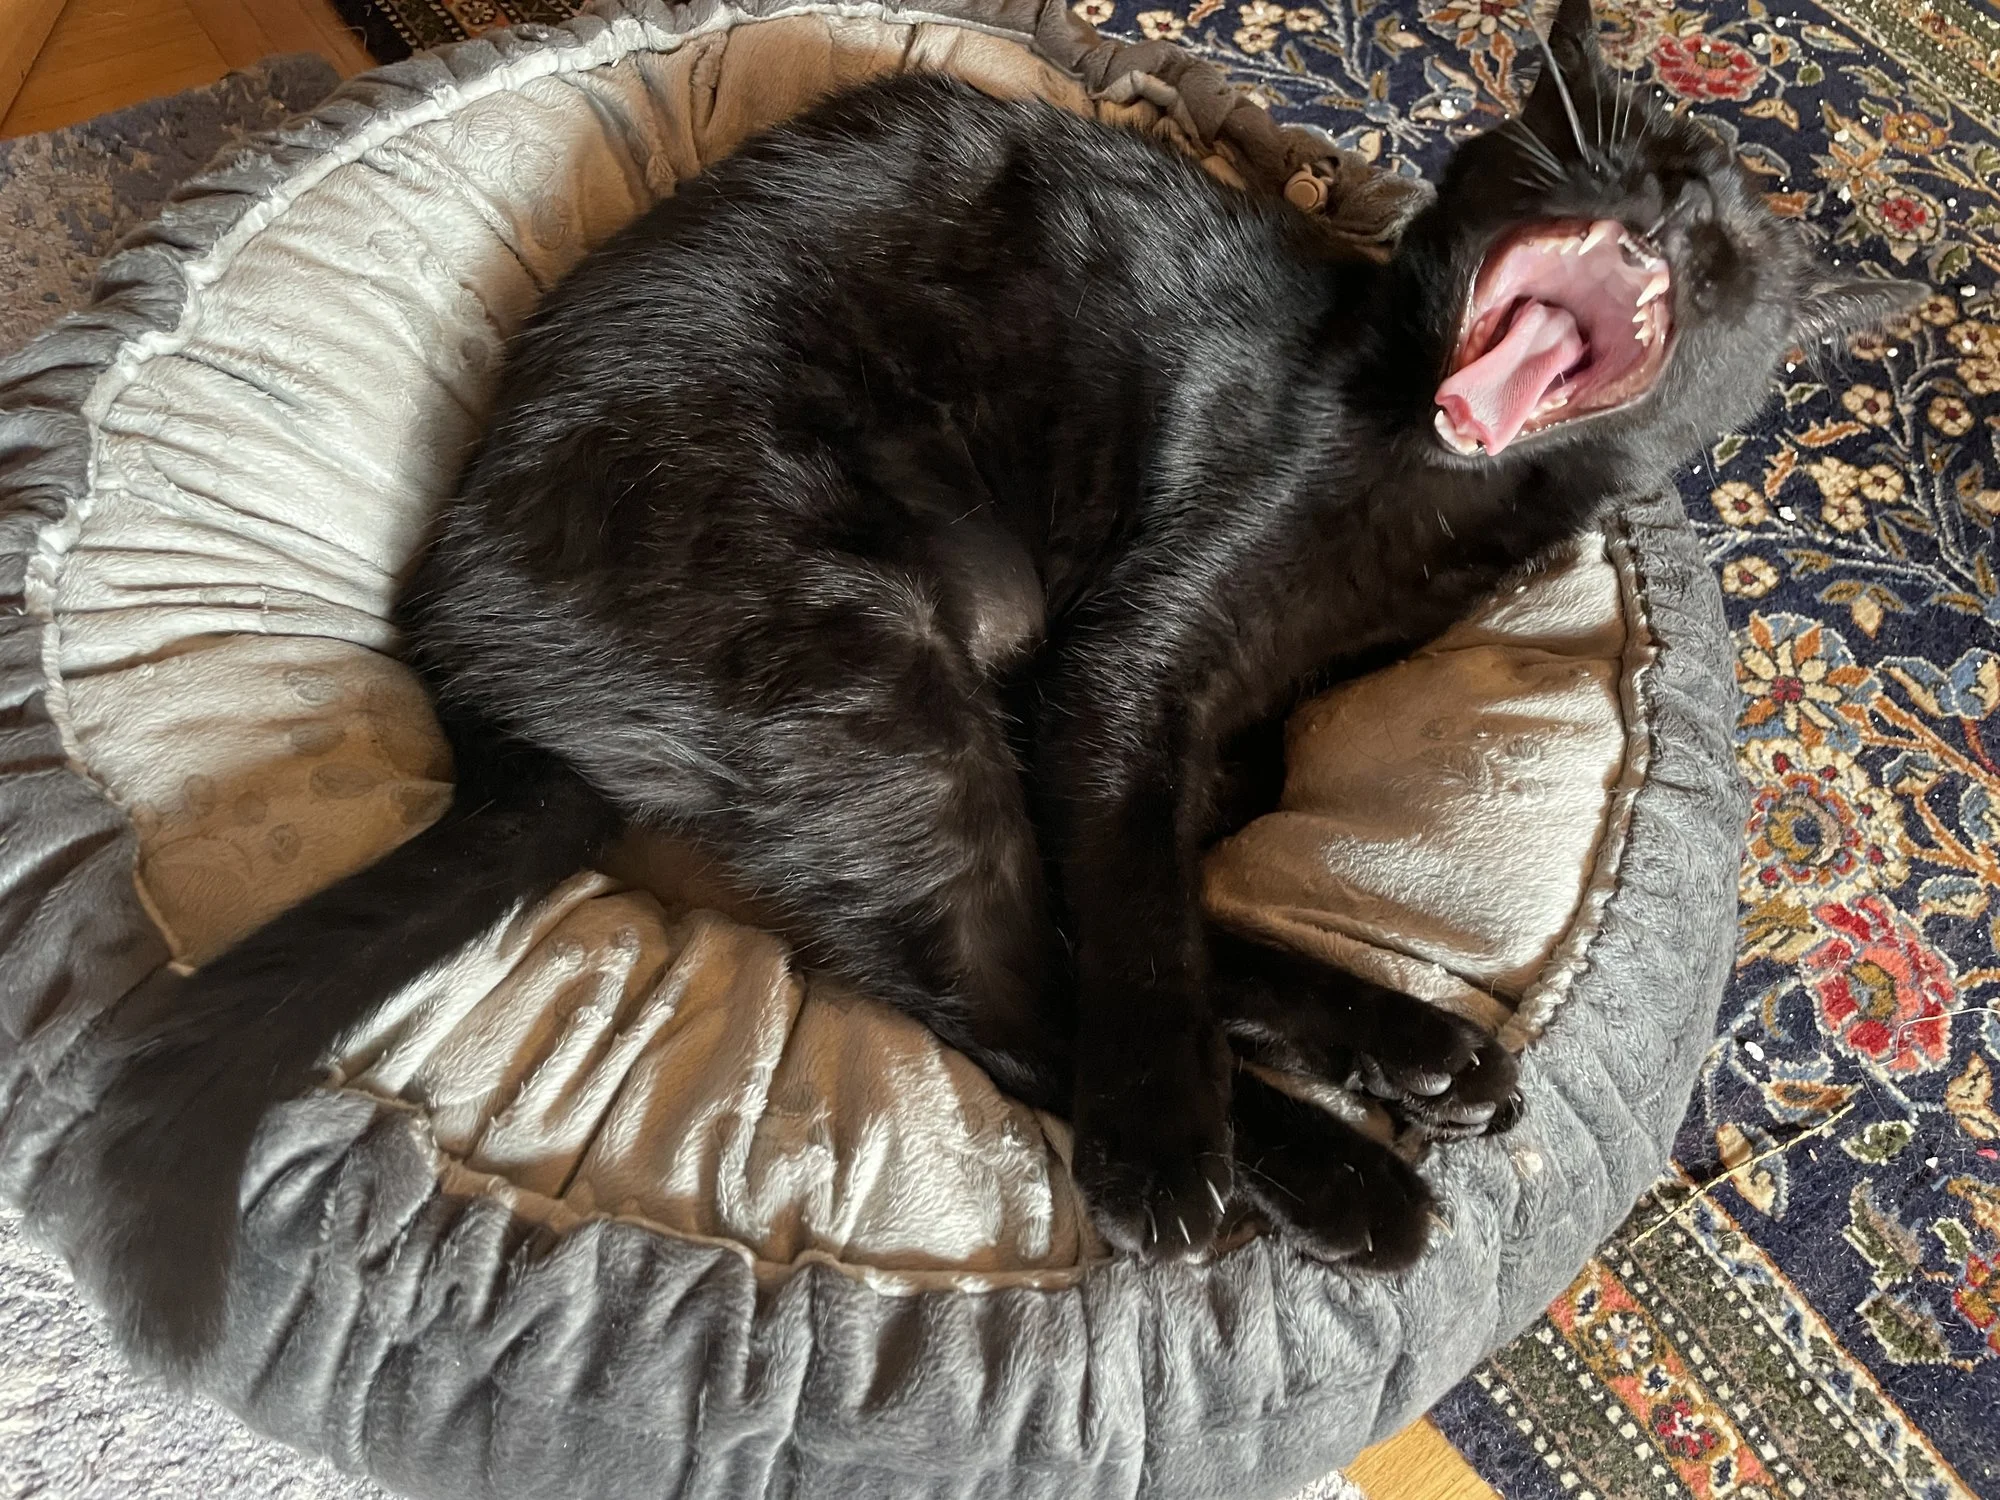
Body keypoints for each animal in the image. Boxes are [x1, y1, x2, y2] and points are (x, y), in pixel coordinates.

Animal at [40, 0, 1921, 1371]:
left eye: (1728, 233)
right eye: (1633, 137)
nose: (1670, 191)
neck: (1440, 487)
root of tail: (469, 658)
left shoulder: (1209, 729)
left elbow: (1159, 888)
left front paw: (1332, 1043)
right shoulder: (1129, 665)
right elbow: (1140, 929)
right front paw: (1170, 1144)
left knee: (1044, 938)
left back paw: (1415, 1052)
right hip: (879, 664)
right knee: (1005, 995)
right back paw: (1316, 1172)